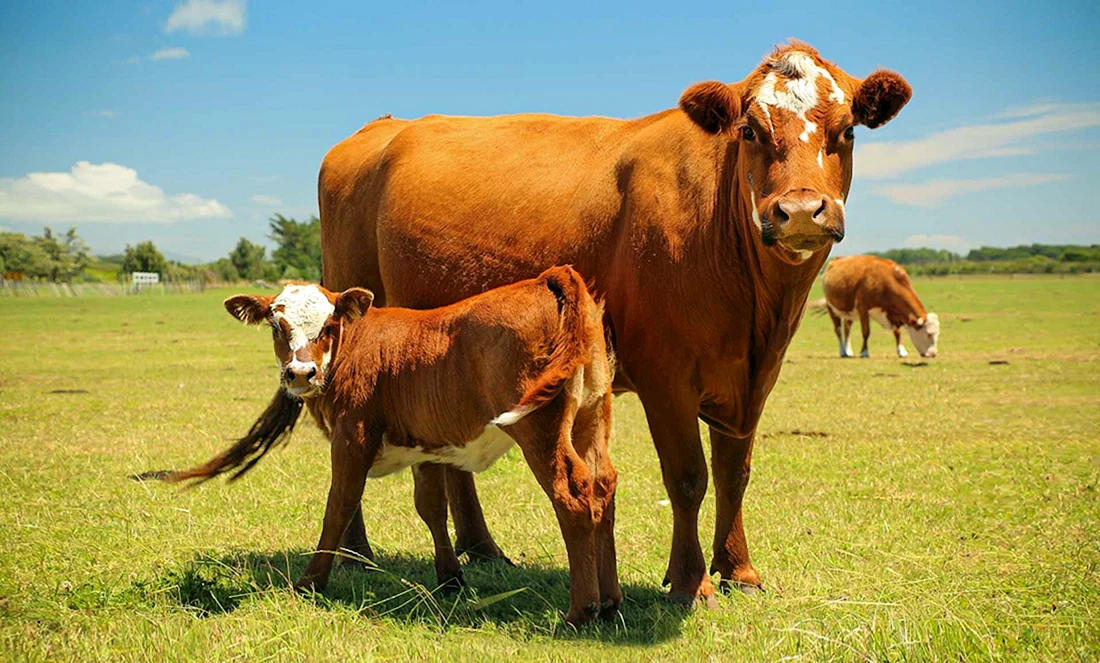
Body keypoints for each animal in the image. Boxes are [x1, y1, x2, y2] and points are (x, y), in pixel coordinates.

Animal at [168, 267, 619, 625]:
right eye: (278, 327)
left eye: (328, 326)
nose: (300, 373)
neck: (355, 346)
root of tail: (548, 278)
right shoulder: (427, 445)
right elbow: (432, 507)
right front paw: (450, 578)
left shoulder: (352, 438)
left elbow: (340, 506)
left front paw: (311, 581)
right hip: (591, 417)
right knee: (603, 488)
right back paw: (611, 601)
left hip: (539, 429)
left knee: (572, 495)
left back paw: (581, 611)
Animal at [317, 41, 912, 606]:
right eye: (750, 130)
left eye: (848, 130)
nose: (801, 211)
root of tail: (380, 128)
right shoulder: (665, 375)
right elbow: (688, 476)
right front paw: (691, 581)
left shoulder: (753, 378)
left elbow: (733, 473)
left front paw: (738, 569)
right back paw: (354, 554)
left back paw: (481, 548)